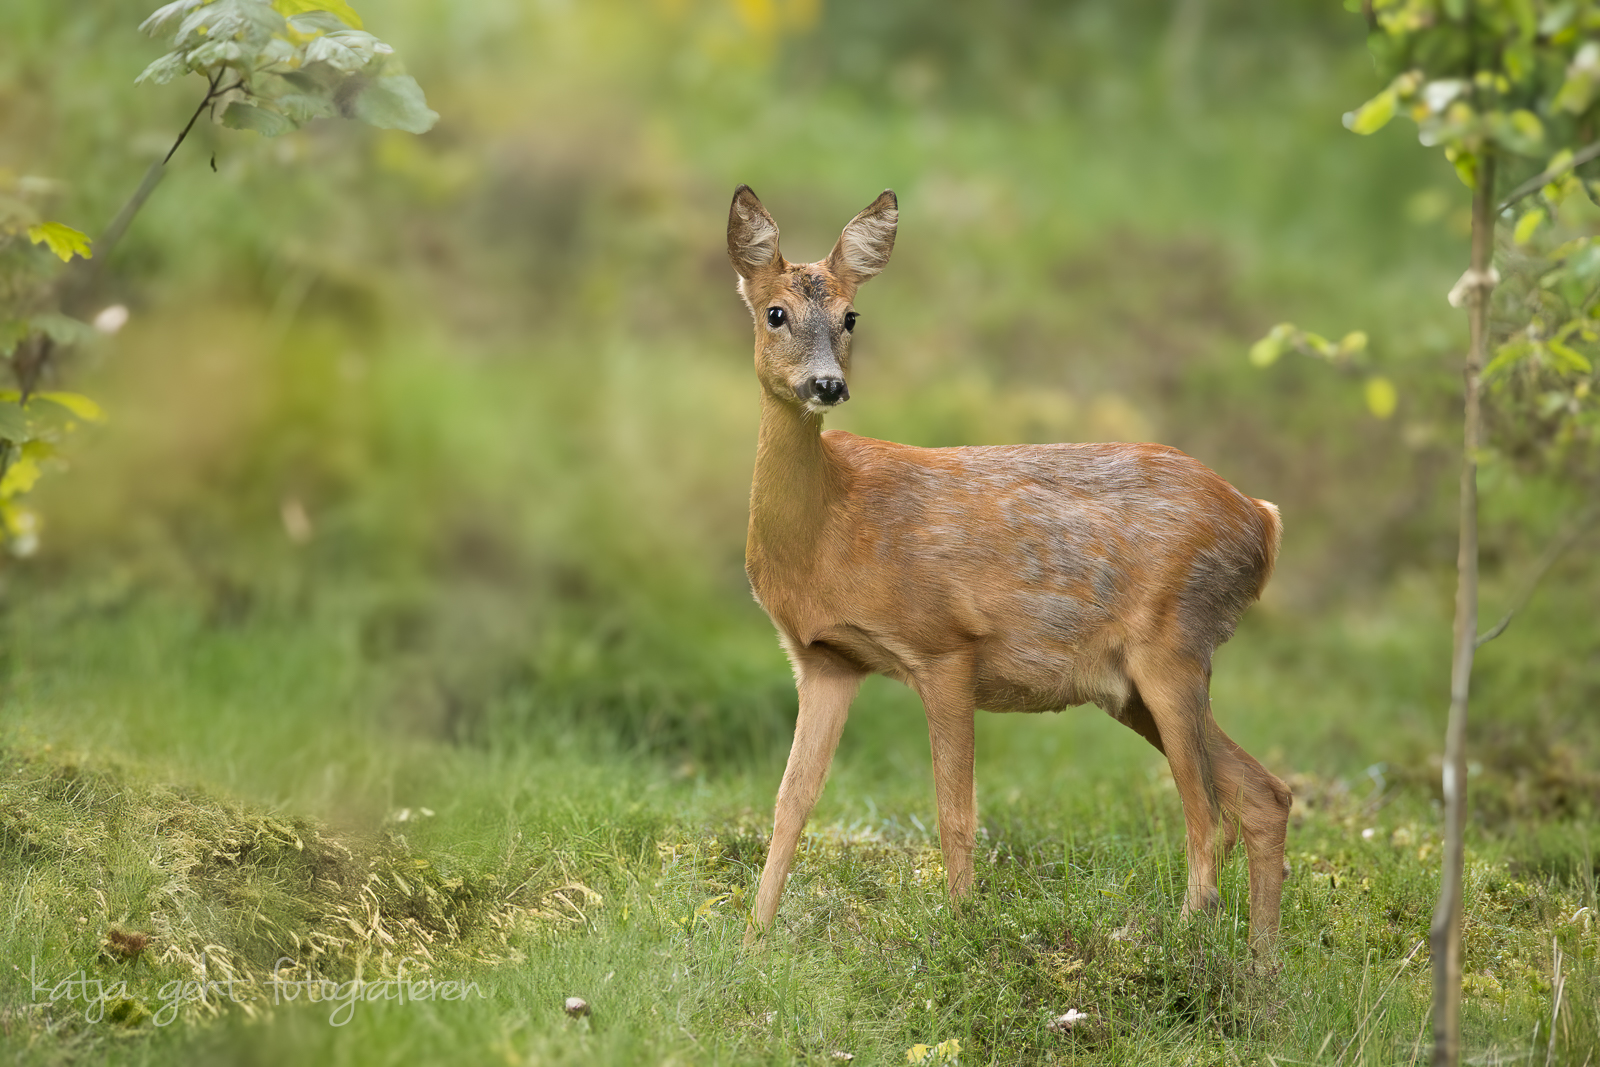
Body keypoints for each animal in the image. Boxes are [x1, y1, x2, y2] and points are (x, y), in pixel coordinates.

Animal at [727, 184, 1293, 954]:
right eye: (776, 311)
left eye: (851, 316)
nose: (827, 384)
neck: (831, 527)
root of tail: (1263, 518)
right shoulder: (826, 660)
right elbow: (791, 803)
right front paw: (752, 939)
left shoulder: (945, 645)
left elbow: (955, 814)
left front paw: (962, 930)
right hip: (1129, 688)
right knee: (1264, 794)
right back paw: (1261, 963)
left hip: (1174, 646)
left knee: (1206, 818)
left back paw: (1184, 941)